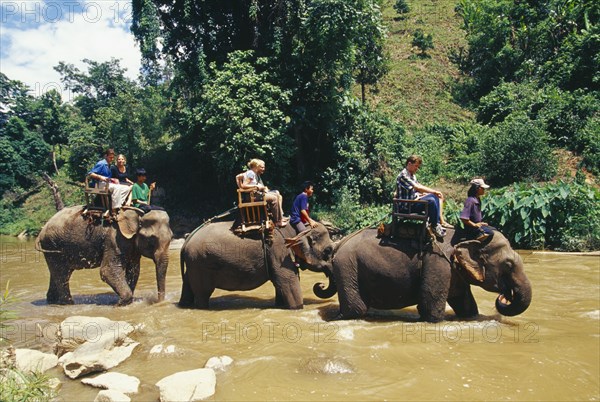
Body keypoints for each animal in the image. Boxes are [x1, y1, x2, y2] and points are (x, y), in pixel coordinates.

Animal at [37, 206, 172, 306]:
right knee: (62, 274)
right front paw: (118, 304)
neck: (136, 212)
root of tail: (41, 232)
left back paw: (52, 301)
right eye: (151, 240)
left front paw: (125, 302)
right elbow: (108, 270)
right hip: (53, 246)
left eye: (171, 238)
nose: (158, 302)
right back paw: (68, 304)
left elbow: (133, 271)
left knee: (59, 273)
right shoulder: (114, 238)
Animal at [178, 221, 338, 310]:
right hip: (200, 265)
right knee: (203, 294)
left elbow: (281, 285)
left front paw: (280, 306)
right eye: (328, 251)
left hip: (193, 265)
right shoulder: (280, 252)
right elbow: (288, 283)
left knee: (188, 287)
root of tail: (186, 241)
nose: (320, 284)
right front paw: (298, 308)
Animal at [322, 228, 532, 322]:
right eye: (508, 265)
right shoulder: (438, 263)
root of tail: (339, 243)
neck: (469, 236)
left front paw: (471, 317)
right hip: (347, 267)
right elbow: (431, 308)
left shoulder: (454, 273)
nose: (504, 296)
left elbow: (466, 306)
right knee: (356, 310)